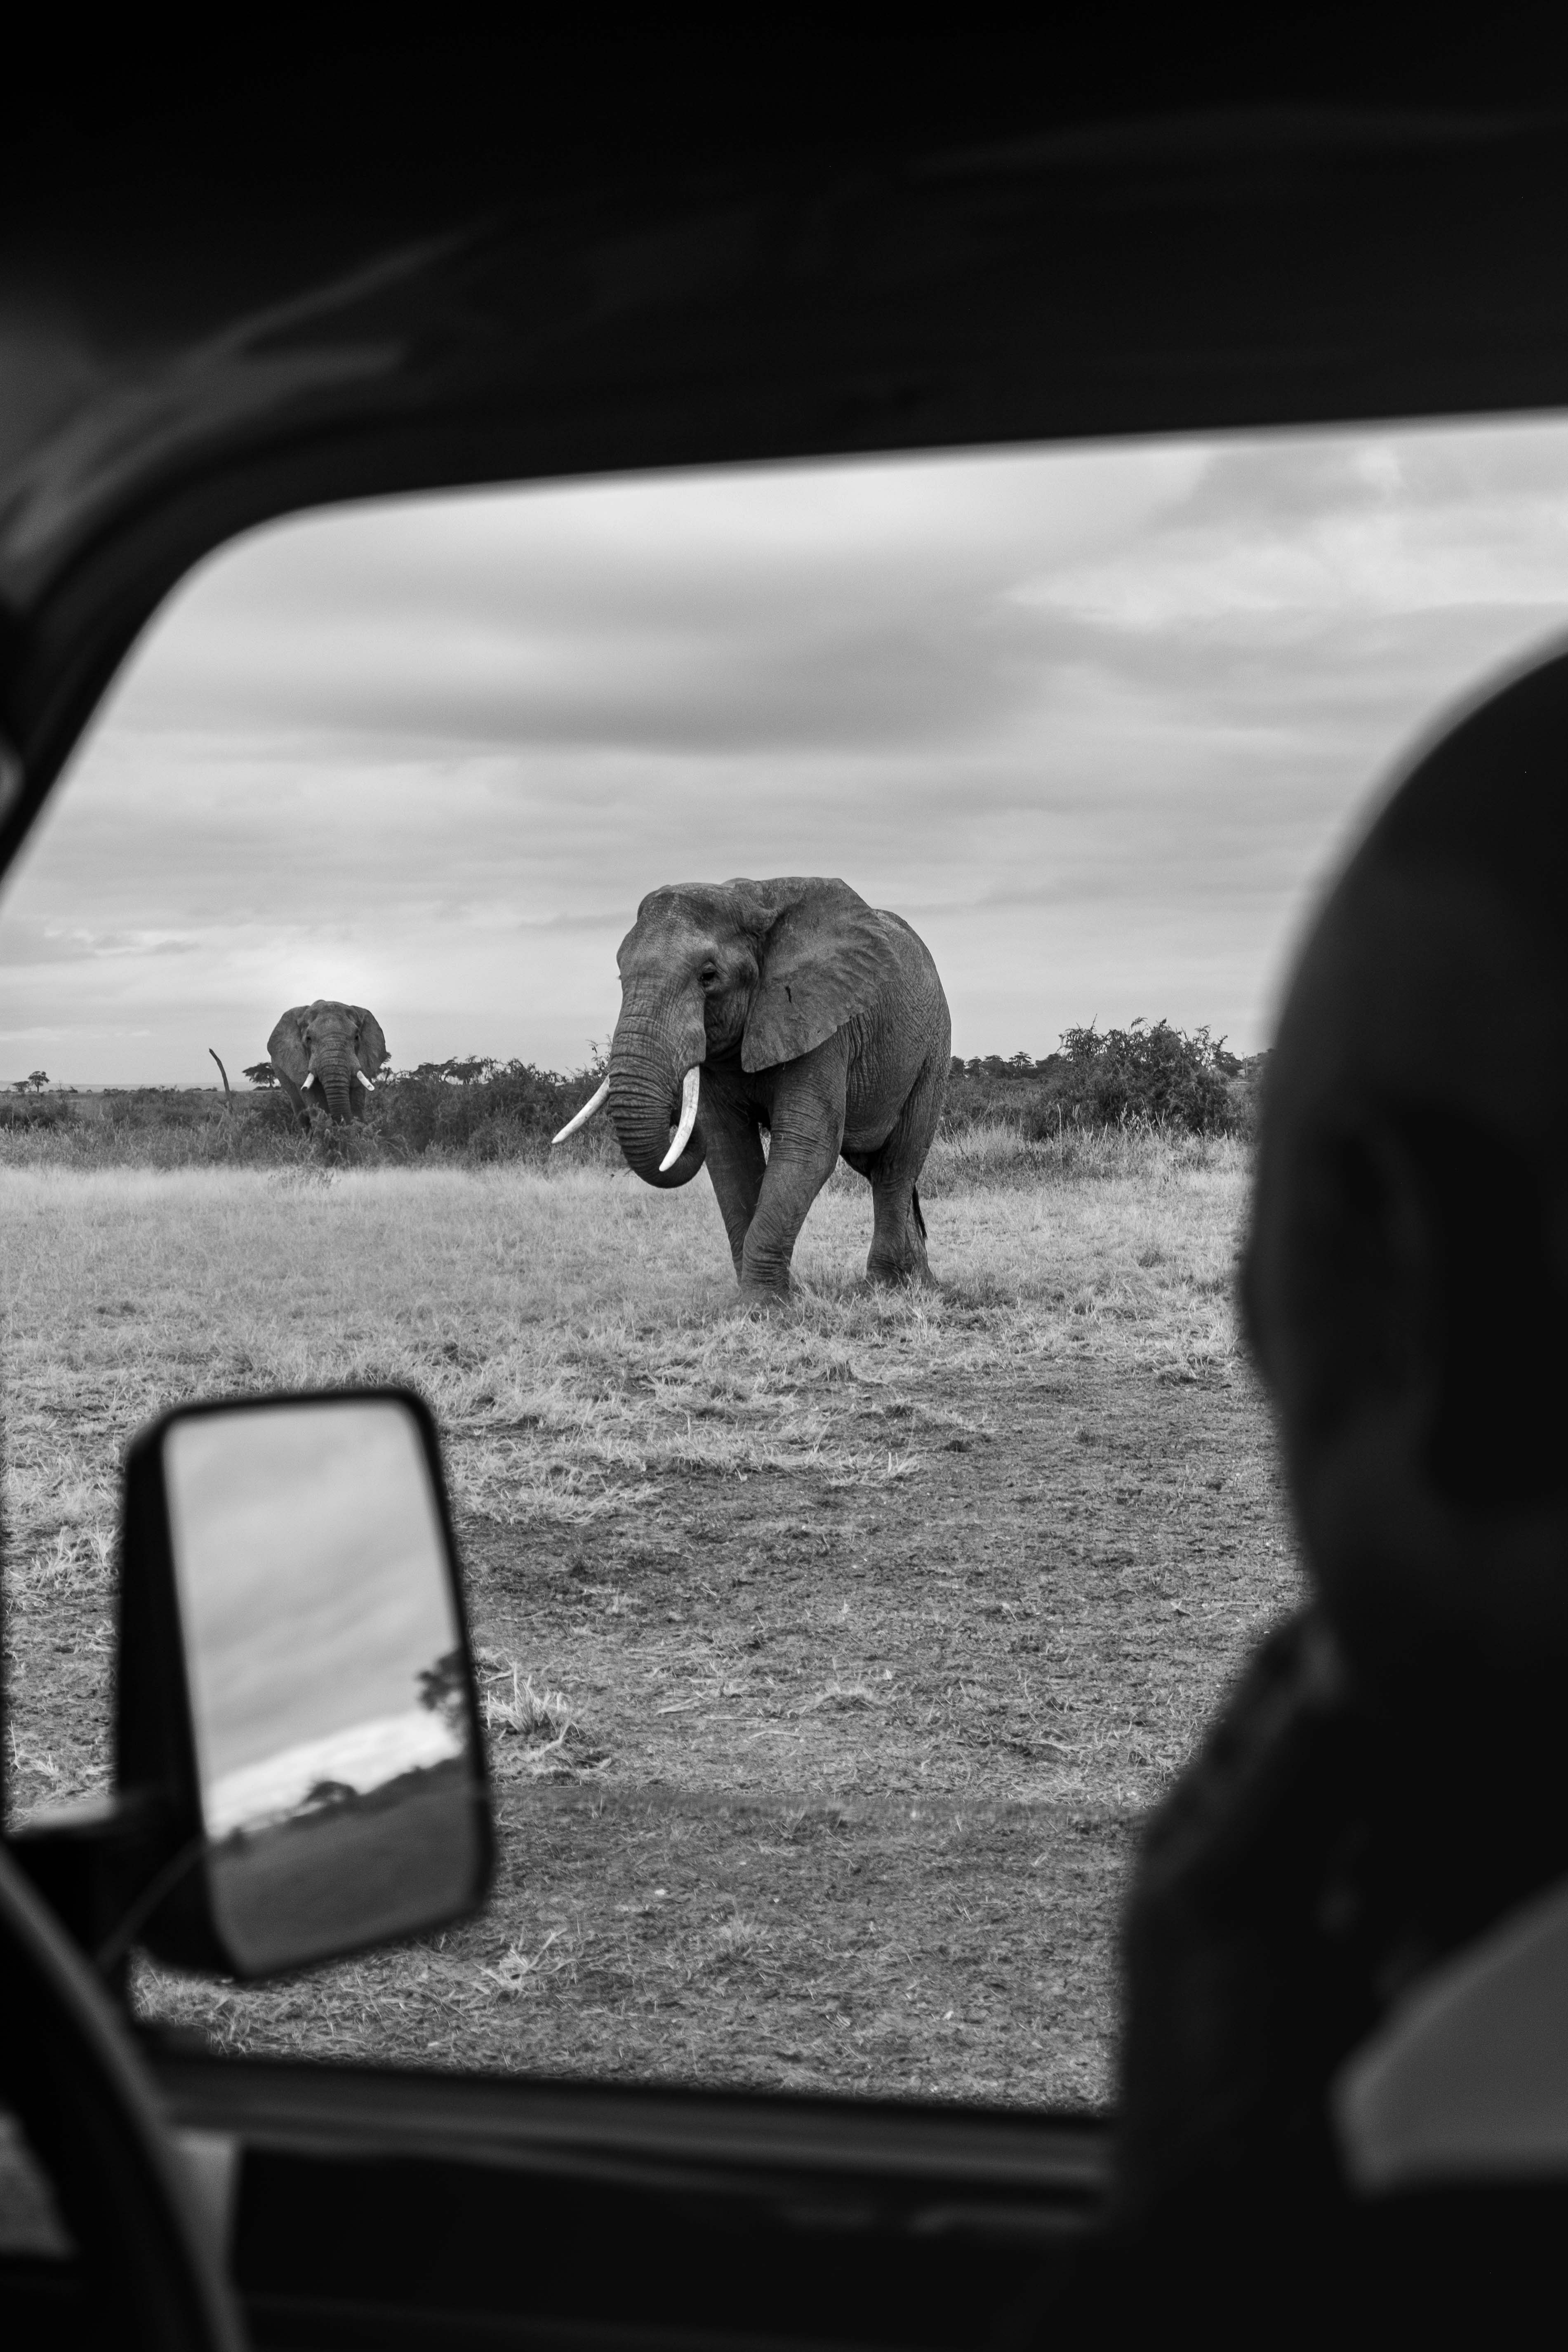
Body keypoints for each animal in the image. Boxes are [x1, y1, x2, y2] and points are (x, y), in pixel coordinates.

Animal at [554, 877, 950, 1300]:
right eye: (620, 977)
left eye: (708, 976)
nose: (676, 1116)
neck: (746, 902)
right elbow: (729, 1149)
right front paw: (753, 1299)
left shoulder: (819, 1021)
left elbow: (807, 1149)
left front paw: (764, 1305)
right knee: (876, 1168)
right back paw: (919, 1281)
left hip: (932, 1053)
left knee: (896, 1165)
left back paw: (885, 1287)